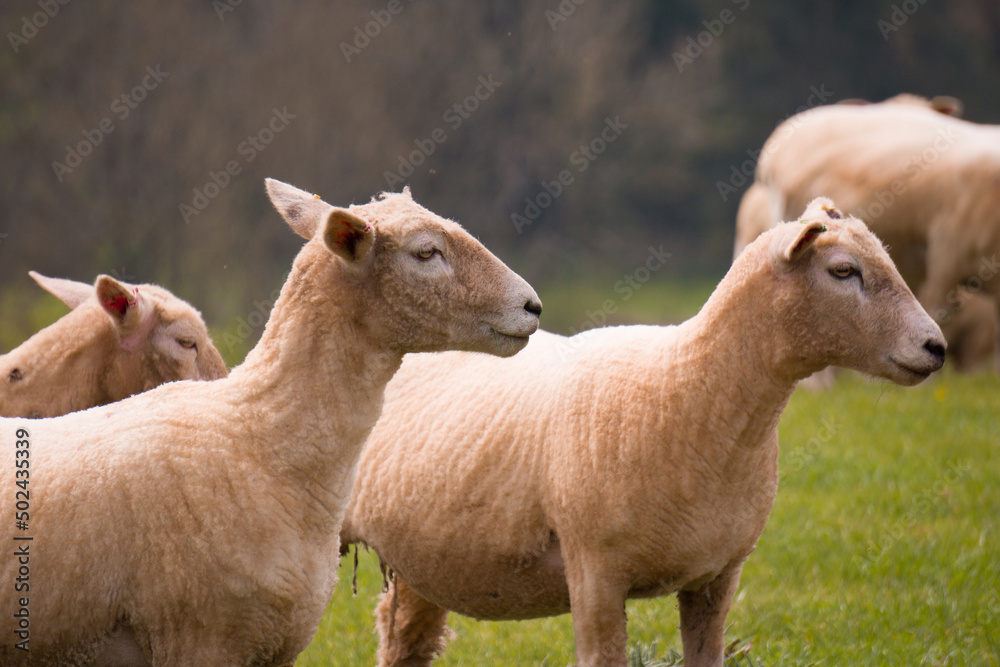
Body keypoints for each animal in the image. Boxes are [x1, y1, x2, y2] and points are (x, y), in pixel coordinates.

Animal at [341, 198, 946, 667]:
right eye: (843, 271)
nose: (936, 347)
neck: (687, 387)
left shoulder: (717, 577)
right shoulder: (595, 573)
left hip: (422, 559)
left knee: (402, 640)